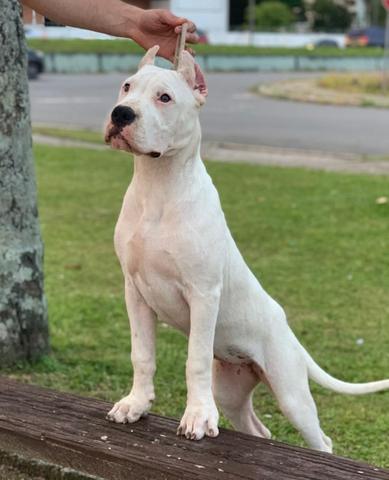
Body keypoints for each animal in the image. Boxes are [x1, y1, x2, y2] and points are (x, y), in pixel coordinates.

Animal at [104, 47, 388, 452]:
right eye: (126, 87)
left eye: (165, 97)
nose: (121, 113)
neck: (158, 186)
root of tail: (288, 330)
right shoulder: (135, 291)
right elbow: (141, 353)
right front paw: (136, 403)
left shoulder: (203, 293)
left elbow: (194, 360)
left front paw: (196, 417)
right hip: (232, 389)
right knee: (259, 430)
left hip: (291, 393)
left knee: (322, 439)